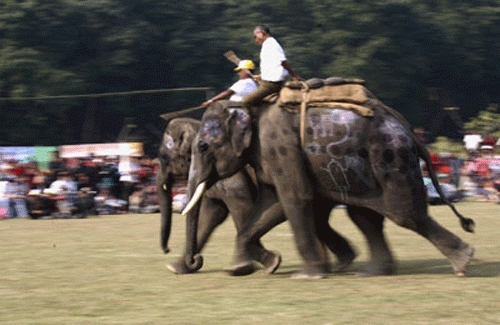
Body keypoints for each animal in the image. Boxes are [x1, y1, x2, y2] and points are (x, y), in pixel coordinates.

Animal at [156, 116, 356, 274]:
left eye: (163, 158)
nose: (167, 250)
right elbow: (211, 215)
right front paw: (176, 268)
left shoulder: (232, 179)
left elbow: (242, 210)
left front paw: (255, 265)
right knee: (319, 220)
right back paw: (338, 264)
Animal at [182, 82, 474, 278]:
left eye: (204, 146)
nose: (196, 260)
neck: (248, 107)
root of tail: (410, 129)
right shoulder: (265, 156)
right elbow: (271, 205)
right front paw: (270, 264)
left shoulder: (281, 147)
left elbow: (294, 198)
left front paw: (306, 275)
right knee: (366, 217)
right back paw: (372, 271)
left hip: (390, 159)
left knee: (404, 213)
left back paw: (463, 263)